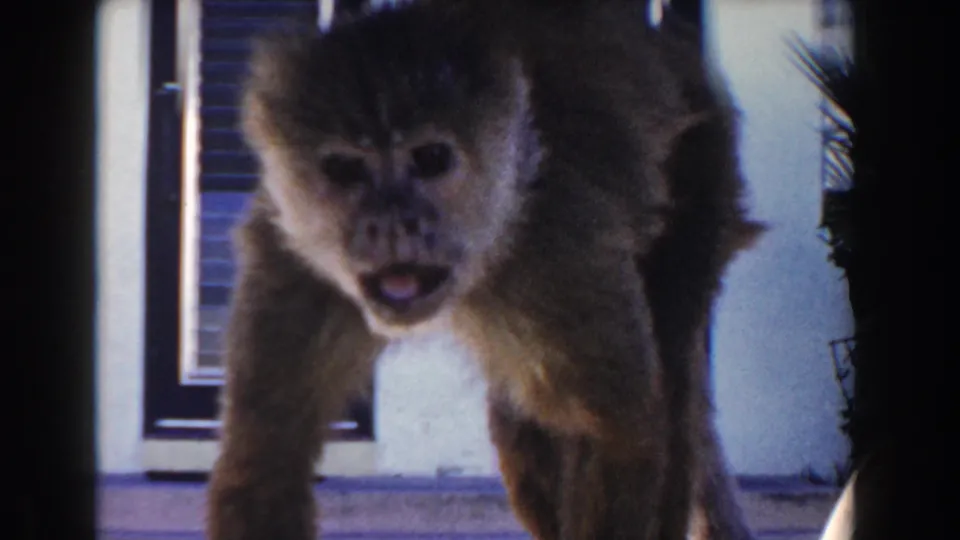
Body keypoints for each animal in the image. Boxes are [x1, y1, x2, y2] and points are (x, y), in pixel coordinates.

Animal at [206, 1, 764, 539]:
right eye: (344, 169)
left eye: (430, 158)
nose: (391, 223)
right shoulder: (290, 263)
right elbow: (264, 465)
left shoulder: (560, 251)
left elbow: (623, 434)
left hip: (702, 163)